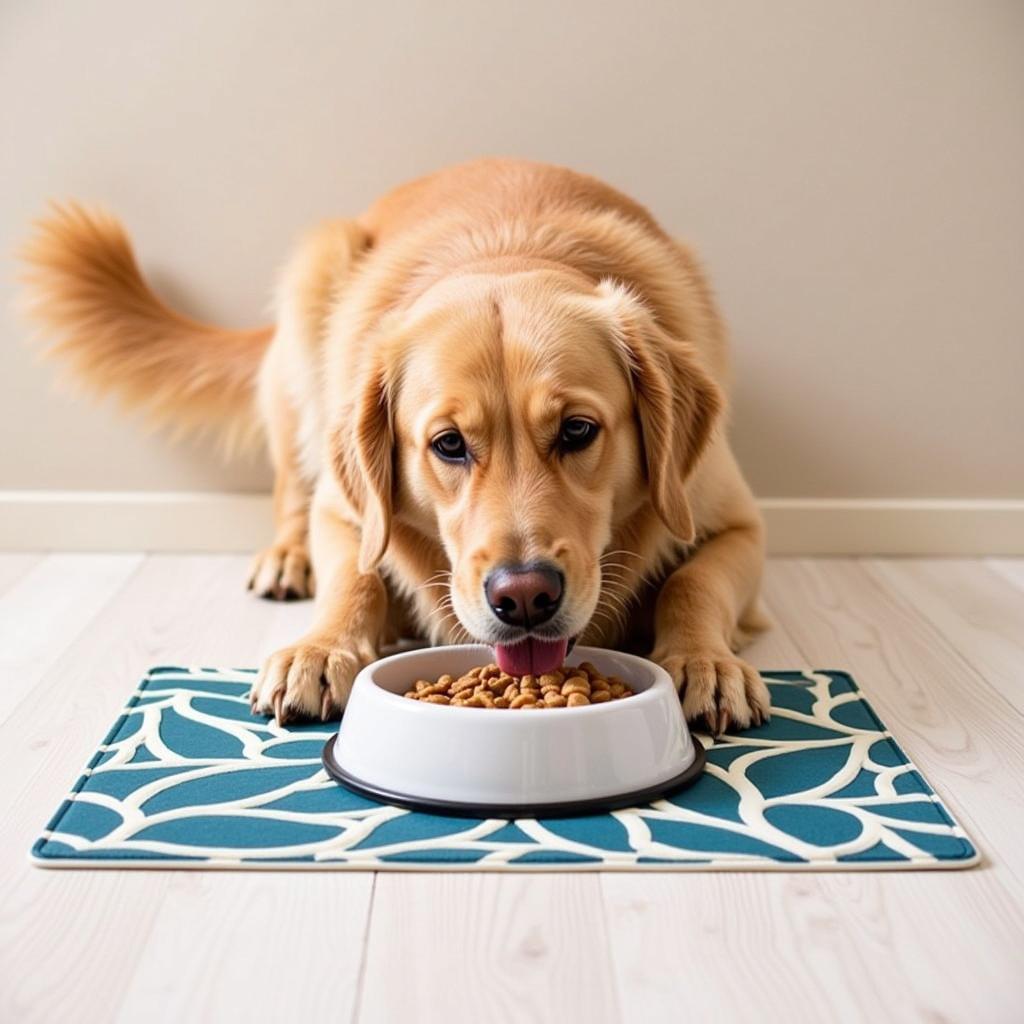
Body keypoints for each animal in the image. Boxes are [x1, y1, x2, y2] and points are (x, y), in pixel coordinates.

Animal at [19, 157, 770, 737]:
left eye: (578, 430)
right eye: (449, 444)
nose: (524, 597)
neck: (508, 251)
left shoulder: (737, 521)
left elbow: (693, 580)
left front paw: (704, 661)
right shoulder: (343, 511)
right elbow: (354, 576)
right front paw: (319, 649)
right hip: (311, 296)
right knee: (291, 492)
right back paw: (287, 559)